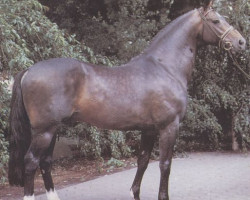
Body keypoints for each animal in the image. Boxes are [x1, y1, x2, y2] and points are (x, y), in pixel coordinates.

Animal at [8, 0, 246, 199]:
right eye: (216, 21)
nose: (241, 42)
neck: (165, 67)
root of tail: (29, 70)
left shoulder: (148, 129)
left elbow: (143, 161)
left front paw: (134, 193)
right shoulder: (169, 127)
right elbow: (165, 164)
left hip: (52, 130)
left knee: (46, 163)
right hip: (44, 131)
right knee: (31, 162)